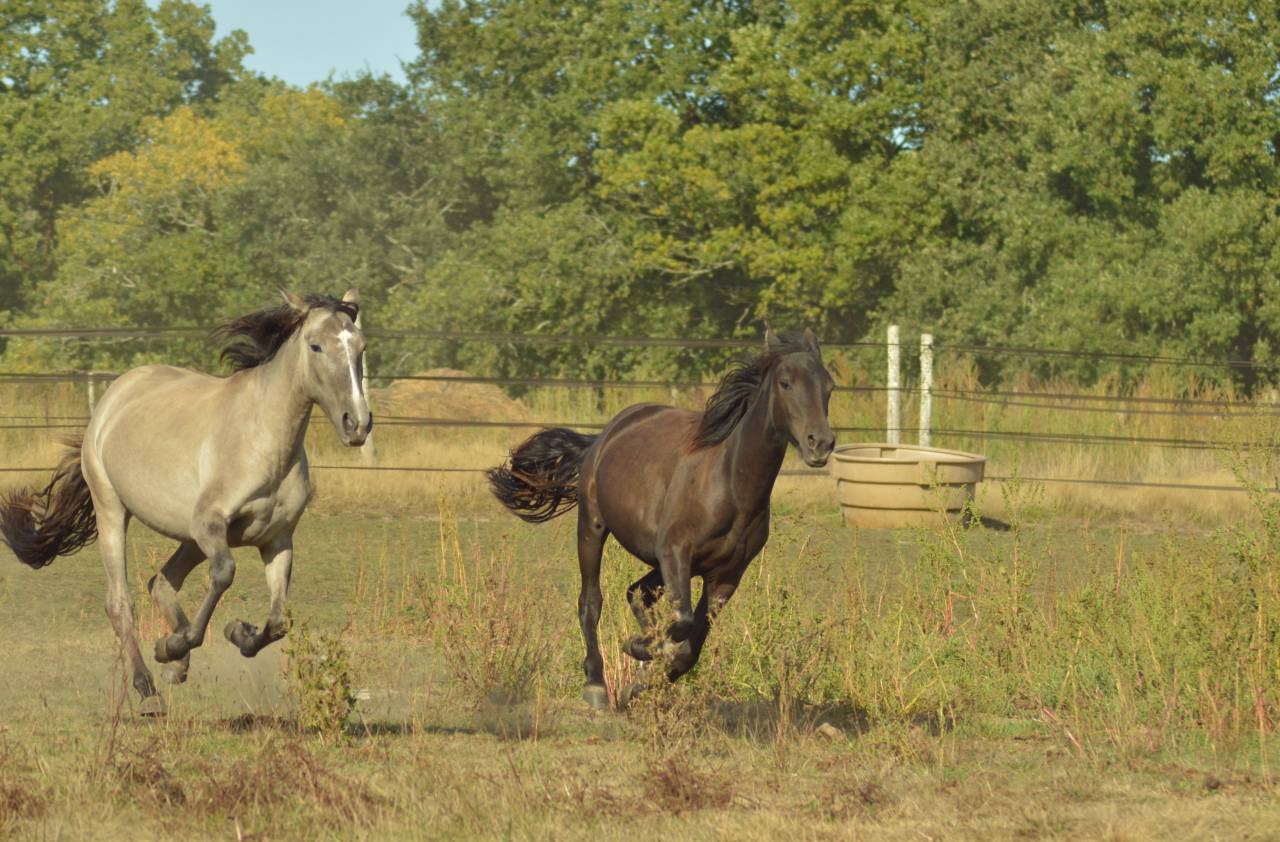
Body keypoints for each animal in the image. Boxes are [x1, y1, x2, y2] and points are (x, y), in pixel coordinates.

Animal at [0, 289, 372, 716]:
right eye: (316, 346)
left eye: (361, 347)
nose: (357, 424)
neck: (264, 440)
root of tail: (113, 398)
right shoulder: (210, 526)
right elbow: (224, 573)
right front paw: (174, 645)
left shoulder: (277, 540)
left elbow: (279, 621)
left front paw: (236, 632)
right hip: (114, 511)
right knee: (120, 602)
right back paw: (149, 687)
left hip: (189, 539)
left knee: (160, 582)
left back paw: (176, 667)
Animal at [488, 327, 835, 709]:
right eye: (786, 383)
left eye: (829, 386)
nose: (820, 443)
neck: (730, 484)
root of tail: (605, 435)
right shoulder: (675, 553)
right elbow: (682, 623)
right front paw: (639, 648)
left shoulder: (727, 576)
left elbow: (689, 648)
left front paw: (640, 679)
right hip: (592, 527)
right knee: (591, 601)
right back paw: (596, 684)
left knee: (637, 592)